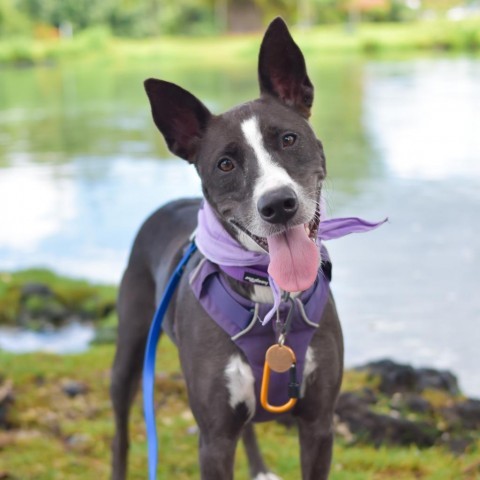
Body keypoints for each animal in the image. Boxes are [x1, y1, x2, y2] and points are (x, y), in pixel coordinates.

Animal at [111, 17, 344, 480]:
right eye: (225, 164)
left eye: (288, 139)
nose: (278, 205)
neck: (271, 297)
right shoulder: (214, 440)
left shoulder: (318, 424)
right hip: (129, 351)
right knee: (121, 431)